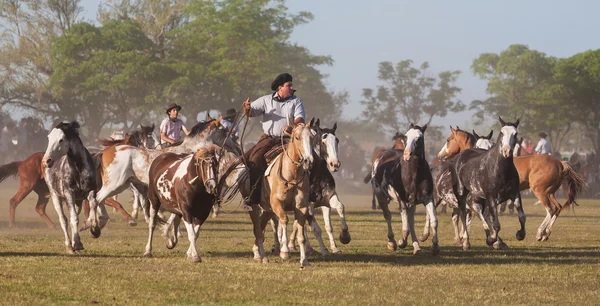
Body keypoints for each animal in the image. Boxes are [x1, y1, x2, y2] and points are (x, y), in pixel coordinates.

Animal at [0, 123, 158, 227]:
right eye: (148, 139)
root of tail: (22, 162)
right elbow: (114, 203)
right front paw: (130, 219)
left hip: (44, 192)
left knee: (39, 208)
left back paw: (53, 225)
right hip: (27, 186)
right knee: (13, 201)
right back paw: (13, 225)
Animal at [41, 122, 99, 253]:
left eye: (61, 140)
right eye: (48, 138)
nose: (46, 161)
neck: (78, 170)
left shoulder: (91, 191)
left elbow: (93, 207)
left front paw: (94, 229)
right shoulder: (69, 195)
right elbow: (73, 219)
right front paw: (76, 244)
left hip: (77, 201)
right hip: (55, 197)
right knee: (64, 220)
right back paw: (69, 246)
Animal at [368, 124, 438, 256]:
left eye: (419, 137)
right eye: (406, 136)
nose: (407, 154)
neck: (412, 175)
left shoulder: (427, 198)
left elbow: (434, 221)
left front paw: (434, 245)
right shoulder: (402, 201)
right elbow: (405, 228)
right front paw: (401, 242)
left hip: (412, 203)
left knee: (411, 221)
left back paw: (416, 247)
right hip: (381, 196)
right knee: (388, 215)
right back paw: (392, 242)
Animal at [436, 124, 584, 241]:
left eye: (448, 140)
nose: (440, 156)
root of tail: (560, 163)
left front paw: (464, 234)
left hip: (540, 191)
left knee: (551, 209)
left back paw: (539, 233)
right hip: (550, 192)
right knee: (557, 208)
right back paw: (546, 233)